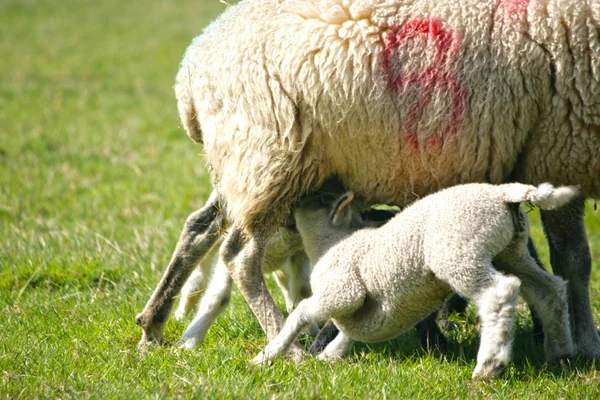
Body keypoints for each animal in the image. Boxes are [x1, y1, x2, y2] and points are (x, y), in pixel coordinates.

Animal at [169, 0, 600, 360]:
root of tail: (192, 65)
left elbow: (561, 260)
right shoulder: (559, 150)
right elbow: (573, 259)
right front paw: (585, 342)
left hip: (250, 169)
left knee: (205, 230)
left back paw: (161, 326)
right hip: (267, 161)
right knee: (240, 258)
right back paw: (285, 346)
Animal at [253, 183, 576, 380]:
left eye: (318, 199)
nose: (290, 204)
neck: (332, 243)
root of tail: (503, 193)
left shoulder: (343, 290)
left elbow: (300, 313)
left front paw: (267, 356)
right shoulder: (362, 305)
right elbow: (348, 329)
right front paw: (331, 355)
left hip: (460, 251)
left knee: (499, 294)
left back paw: (489, 366)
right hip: (511, 251)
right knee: (550, 289)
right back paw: (560, 353)